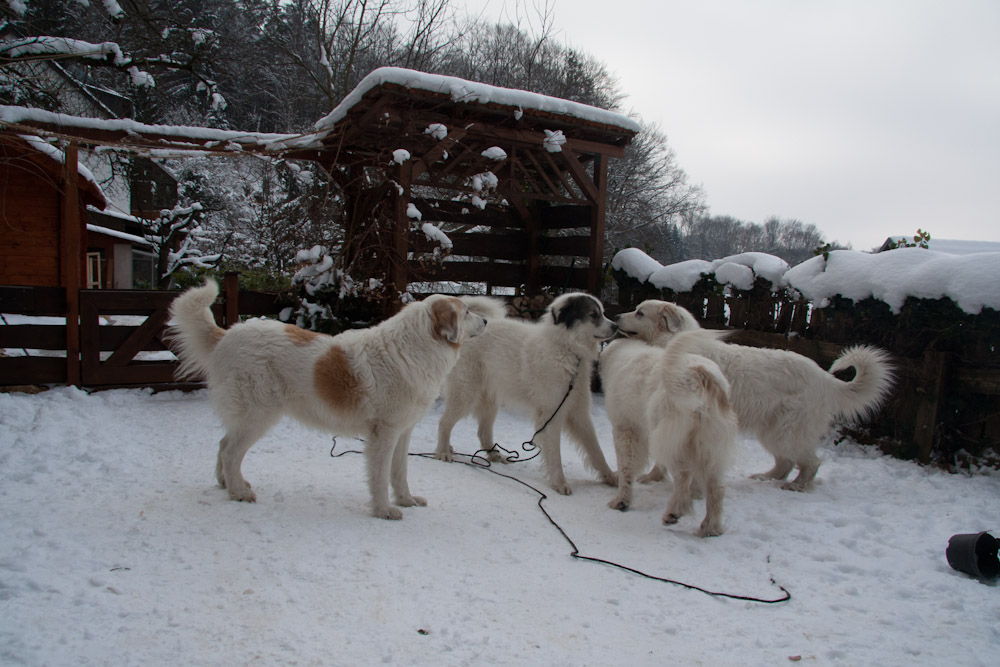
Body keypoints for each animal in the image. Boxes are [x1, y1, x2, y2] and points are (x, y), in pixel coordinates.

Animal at [169, 280, 488, 520]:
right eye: (467, 311)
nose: (486, 320)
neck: (414, 348)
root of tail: (227, 334)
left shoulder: (402, 431)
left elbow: (399, 472)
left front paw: (406, 500)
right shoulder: (383, 433)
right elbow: (380, 475)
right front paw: (383, 510)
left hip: (247, 417)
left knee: (223, 445)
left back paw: (226, 483)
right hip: (258, 415)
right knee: (231, 451)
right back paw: (238, 492)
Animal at [436, 294, 616, 496]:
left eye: (602, 313)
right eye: (593, 315)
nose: (616, 326)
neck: (564, 348)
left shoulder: (579, 413)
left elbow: (595, 449)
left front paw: (610, 477)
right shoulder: (551, 414)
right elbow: (555, 453)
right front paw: (559, 482)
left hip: (490, 400)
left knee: (483, 432)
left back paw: (493, 454)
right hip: (465, 394)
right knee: (444, 423)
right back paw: (443, 451)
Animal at [596, 334, 740, 536]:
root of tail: (699, 373)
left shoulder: (626, 431)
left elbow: (626, 469)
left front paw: (622, 501)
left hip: (674, 440)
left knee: (684, 474)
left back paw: (674, 512)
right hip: (708, 446)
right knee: (717, 488)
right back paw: (710, 528)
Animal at [612, 300, 896, 494]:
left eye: (639, 312)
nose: (615, 316)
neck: (672, 343)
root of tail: (825, 378)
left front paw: (652, 478)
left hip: (786, 432)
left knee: (810, 462)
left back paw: (796, 487)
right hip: (772, 432)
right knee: (785, 464)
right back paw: (765, 477)